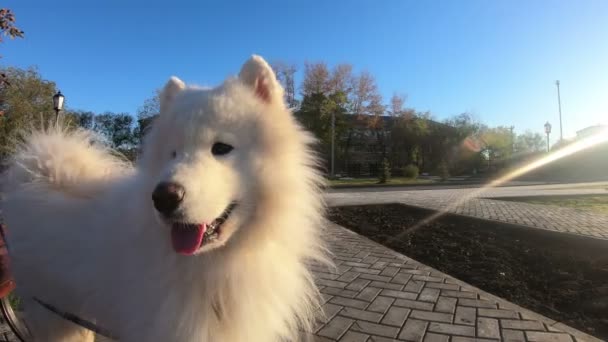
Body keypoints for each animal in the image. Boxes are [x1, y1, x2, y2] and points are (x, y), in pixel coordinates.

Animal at [1, 56, 328, 342]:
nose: (163, 197)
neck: (216, 266)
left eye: (222, 148)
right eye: (172, 153)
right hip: (52, 311)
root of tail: (39, 172)